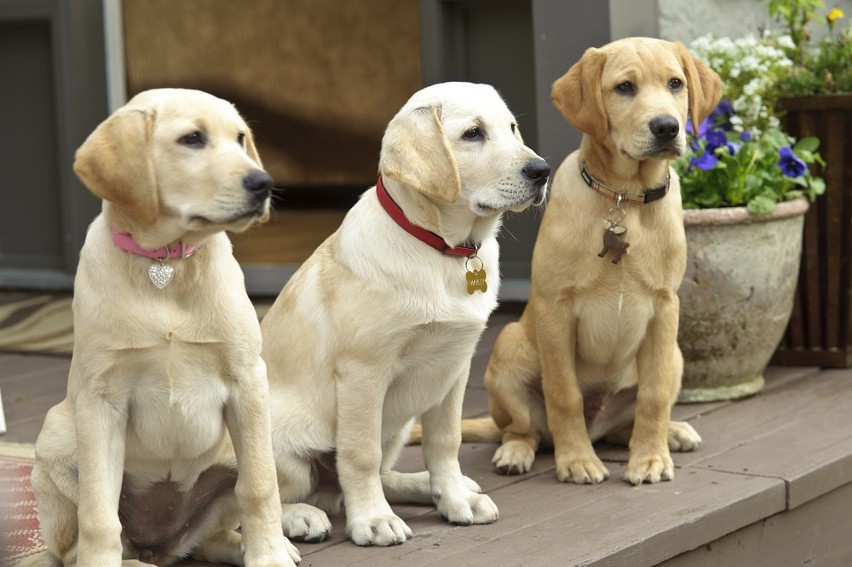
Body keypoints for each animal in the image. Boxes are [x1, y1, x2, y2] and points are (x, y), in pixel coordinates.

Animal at [26, 89, 298, 567]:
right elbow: (99, 513)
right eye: (192, 139)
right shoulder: (100, 399)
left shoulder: (247, 380)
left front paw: (268, 555)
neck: (167, 265)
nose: (263, 183)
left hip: (236, 451)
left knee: (215, 530)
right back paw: (130, 561)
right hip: (57, 438)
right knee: (77, 547)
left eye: (240, 138)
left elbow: (259, 486)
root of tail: (160, 545)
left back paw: (256, 544)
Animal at [262, 82, 552, 548]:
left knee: (370, 476)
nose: (542, 171)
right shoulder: (364, 372)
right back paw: (300, 517)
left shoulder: (455, 365)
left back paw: (426, 486)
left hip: (397, 426)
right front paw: (374, 520)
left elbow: (445, 441)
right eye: (473, 134)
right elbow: (359, 454)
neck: (442, 249)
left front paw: (454, 498)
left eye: (511, 128)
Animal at [462, 37, 724, 486]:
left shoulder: (664, 309)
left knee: (625, 425)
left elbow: (654, 396)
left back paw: (670, 433)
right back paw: (516, 452)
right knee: (521, 429)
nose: (667, 127)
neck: (625, 196)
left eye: (675, 83)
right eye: (624, 88)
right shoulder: (555, 310)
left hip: (675, 356)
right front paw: (577, 461)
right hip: (509, 346)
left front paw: (650, 458)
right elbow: (563, 393)